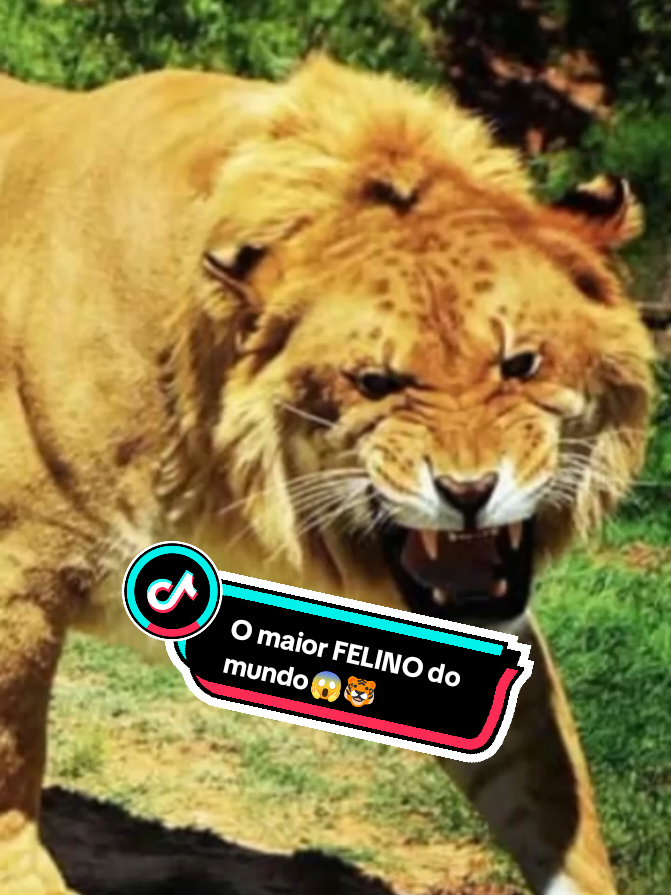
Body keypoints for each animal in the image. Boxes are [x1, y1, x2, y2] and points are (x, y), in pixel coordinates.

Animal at [0, 55, 654, 895]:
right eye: (374, 381)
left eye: (520, 363)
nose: (468, 491)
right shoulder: (15, 583)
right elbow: (11, 783)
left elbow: (549, 794)